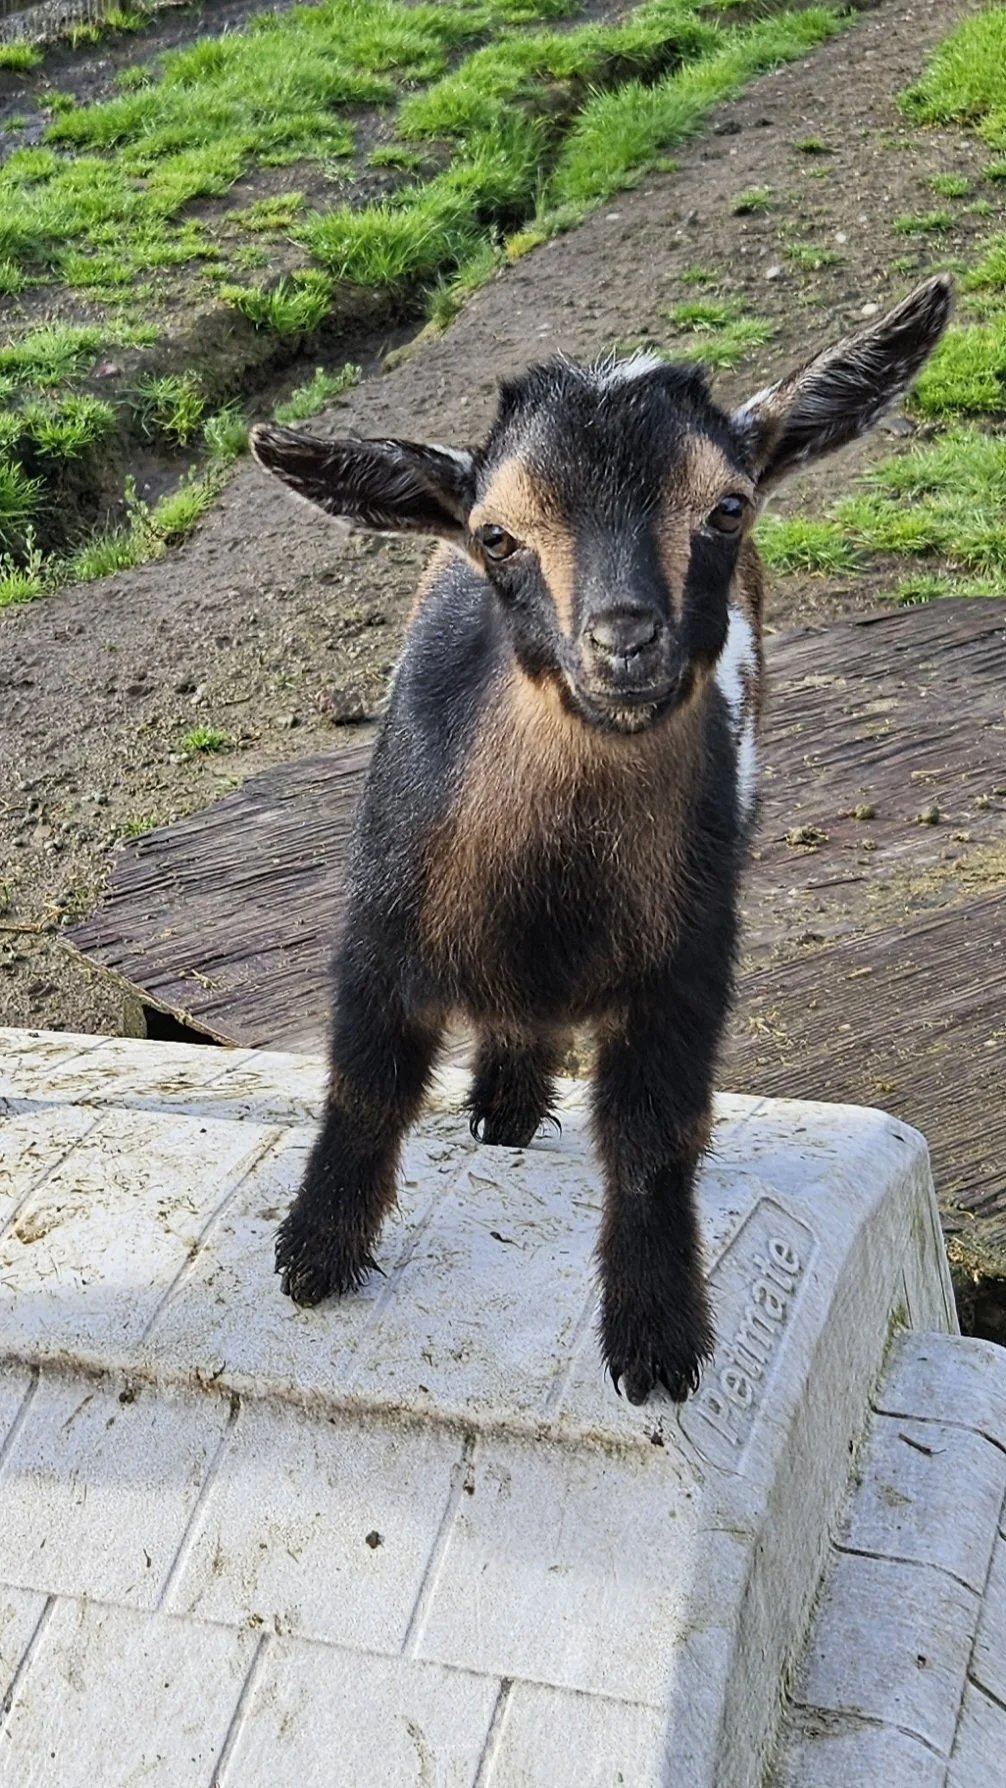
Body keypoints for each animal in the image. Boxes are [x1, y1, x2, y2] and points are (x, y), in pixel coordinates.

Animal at [250, 276, 950, 1404]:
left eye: (726, 506)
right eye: (496, 536)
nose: (624, 644)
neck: (550, 891)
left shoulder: (686, 963)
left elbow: (657, 1135)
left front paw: (660, 1339)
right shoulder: (382, 925)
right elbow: (364, 1085)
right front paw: (315, 1255)